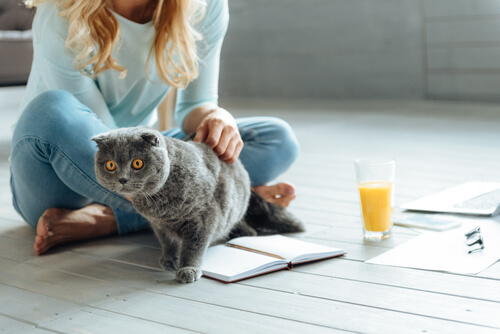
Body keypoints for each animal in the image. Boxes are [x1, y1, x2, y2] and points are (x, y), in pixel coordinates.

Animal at [93, 126, 304, 284]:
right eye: (110, 165)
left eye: (137, 163)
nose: (122, 179)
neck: (159, 205)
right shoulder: (158, 225)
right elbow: (167, 242)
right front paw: (169, 259)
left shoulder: (204, 217)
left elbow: (194, 246)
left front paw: (188, 269)